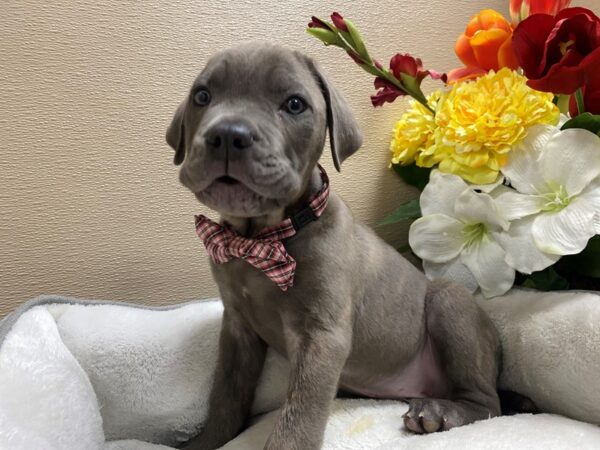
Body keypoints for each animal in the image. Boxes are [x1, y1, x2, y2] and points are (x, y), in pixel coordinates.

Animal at [165, 43, 502, 450]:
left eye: (295, 104)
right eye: (202, 96)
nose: (229, 135)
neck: (261, 239)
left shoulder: (322, 335)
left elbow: (299, 415)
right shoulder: (237, 330)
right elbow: (225, 396)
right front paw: (205, 442)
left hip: (451, 302)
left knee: (489, 403)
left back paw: (439, 413)